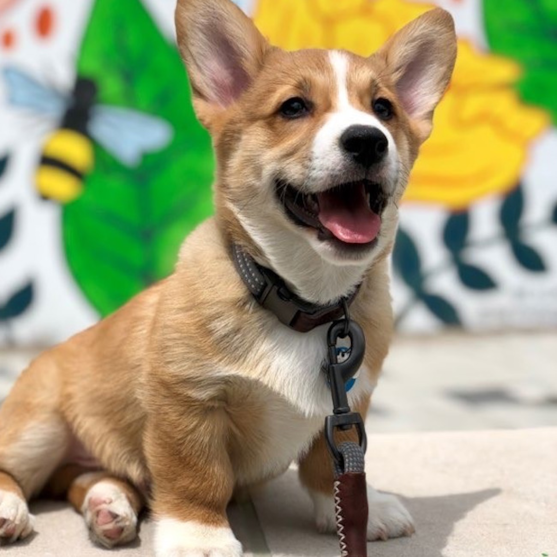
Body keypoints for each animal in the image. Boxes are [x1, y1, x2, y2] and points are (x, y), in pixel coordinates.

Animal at [0, 2, 454, 552]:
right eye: (294, 107)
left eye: (384, 109)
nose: (368, 140)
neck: (303, 301)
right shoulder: (188, 399)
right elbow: (197, 476)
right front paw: (200, 537)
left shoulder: (350, 402)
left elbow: (329, 468)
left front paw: (354, 511)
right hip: (38, 428)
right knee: (16, 469)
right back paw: (11, 507)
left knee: (93, 477)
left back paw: (109, 507)